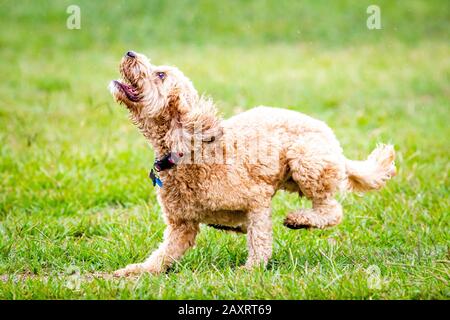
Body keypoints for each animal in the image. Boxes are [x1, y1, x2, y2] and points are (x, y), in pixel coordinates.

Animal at [110, 51, 396, 276]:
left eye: (160, 75)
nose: (129, 52)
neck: (191, 150)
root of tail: (335, 144)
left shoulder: (257, 199)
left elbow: (259, 238)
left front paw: (251, 270)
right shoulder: (182, 226)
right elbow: (162, 256)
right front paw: (133, 272)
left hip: (305, 162)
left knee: (332, 210)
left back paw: (299, 220)